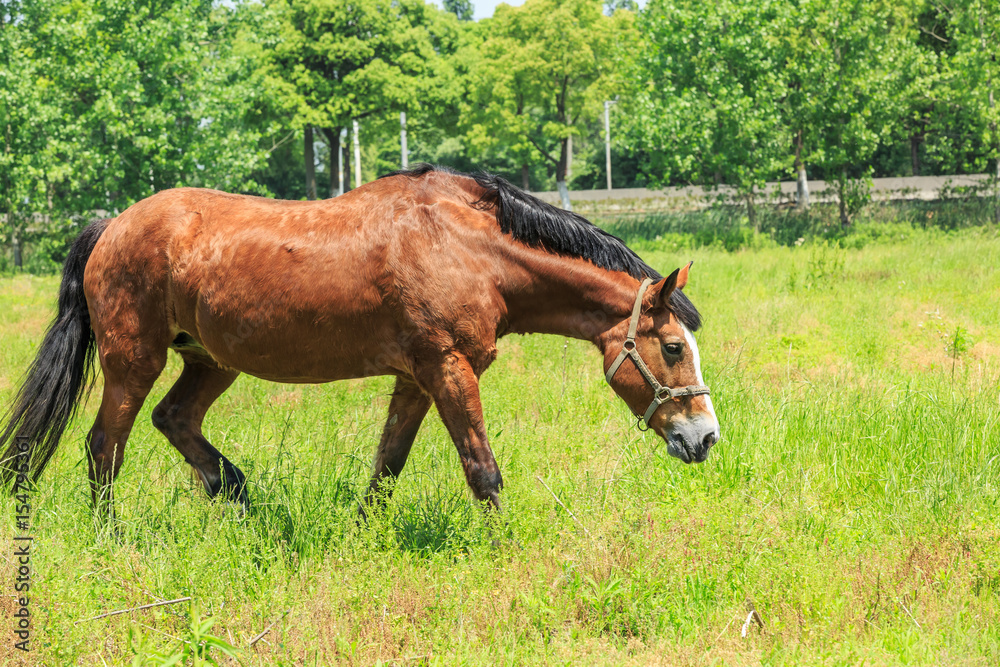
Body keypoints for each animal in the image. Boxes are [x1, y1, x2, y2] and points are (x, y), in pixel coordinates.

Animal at [1, 166, 720, 516]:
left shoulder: (416, 377)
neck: (471, 249)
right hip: (134, 359)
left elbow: (386, 468)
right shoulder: (450, 369)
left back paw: (237, 495)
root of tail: (112, 225)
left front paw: (364, 534)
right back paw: (113, 533)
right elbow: (482, 470)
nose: (706, 438)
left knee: (173, 419)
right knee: (104, 447)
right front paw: (507, 548)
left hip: (212, 361)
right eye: (673, 347)